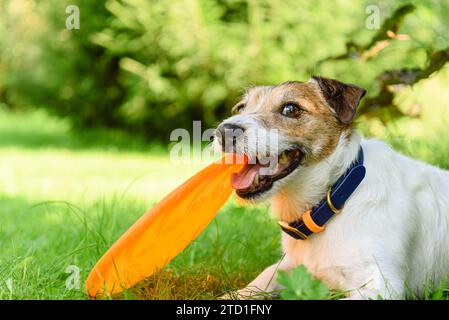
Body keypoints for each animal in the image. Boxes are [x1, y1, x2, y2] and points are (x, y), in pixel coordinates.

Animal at [213, 77, 448, 300]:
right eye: (240, 107)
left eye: (290, 109)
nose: (223, 132)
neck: (335, 195)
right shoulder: (288, 267)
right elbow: (261, 279)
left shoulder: (383, 286)